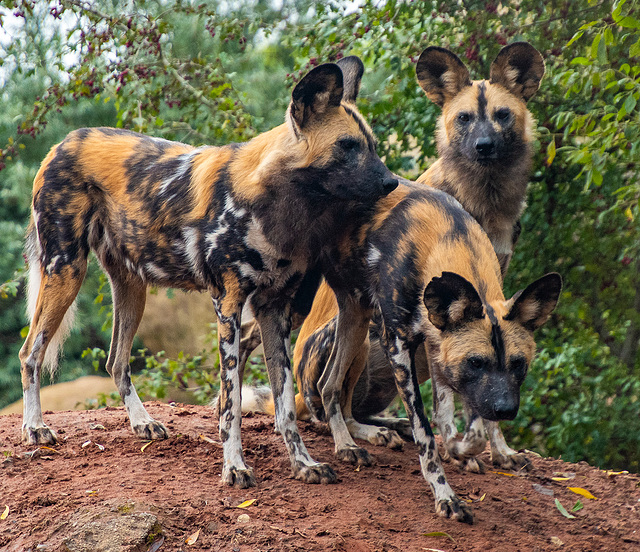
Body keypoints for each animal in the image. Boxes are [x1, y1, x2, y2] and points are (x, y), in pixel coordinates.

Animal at [17, 57, 398, 488]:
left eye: (372, 146)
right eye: (348, 146)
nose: (392, 182)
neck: (280, 205)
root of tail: (64, 142)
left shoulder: (275, 311)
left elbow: (284, 405)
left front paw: (304, 464)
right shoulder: (228, 306)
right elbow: (231, 406)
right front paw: (235, 467)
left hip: (132, 287)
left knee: (116, 360)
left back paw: (142, 423)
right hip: (66, 270)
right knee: (30, 353)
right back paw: (35, 429)